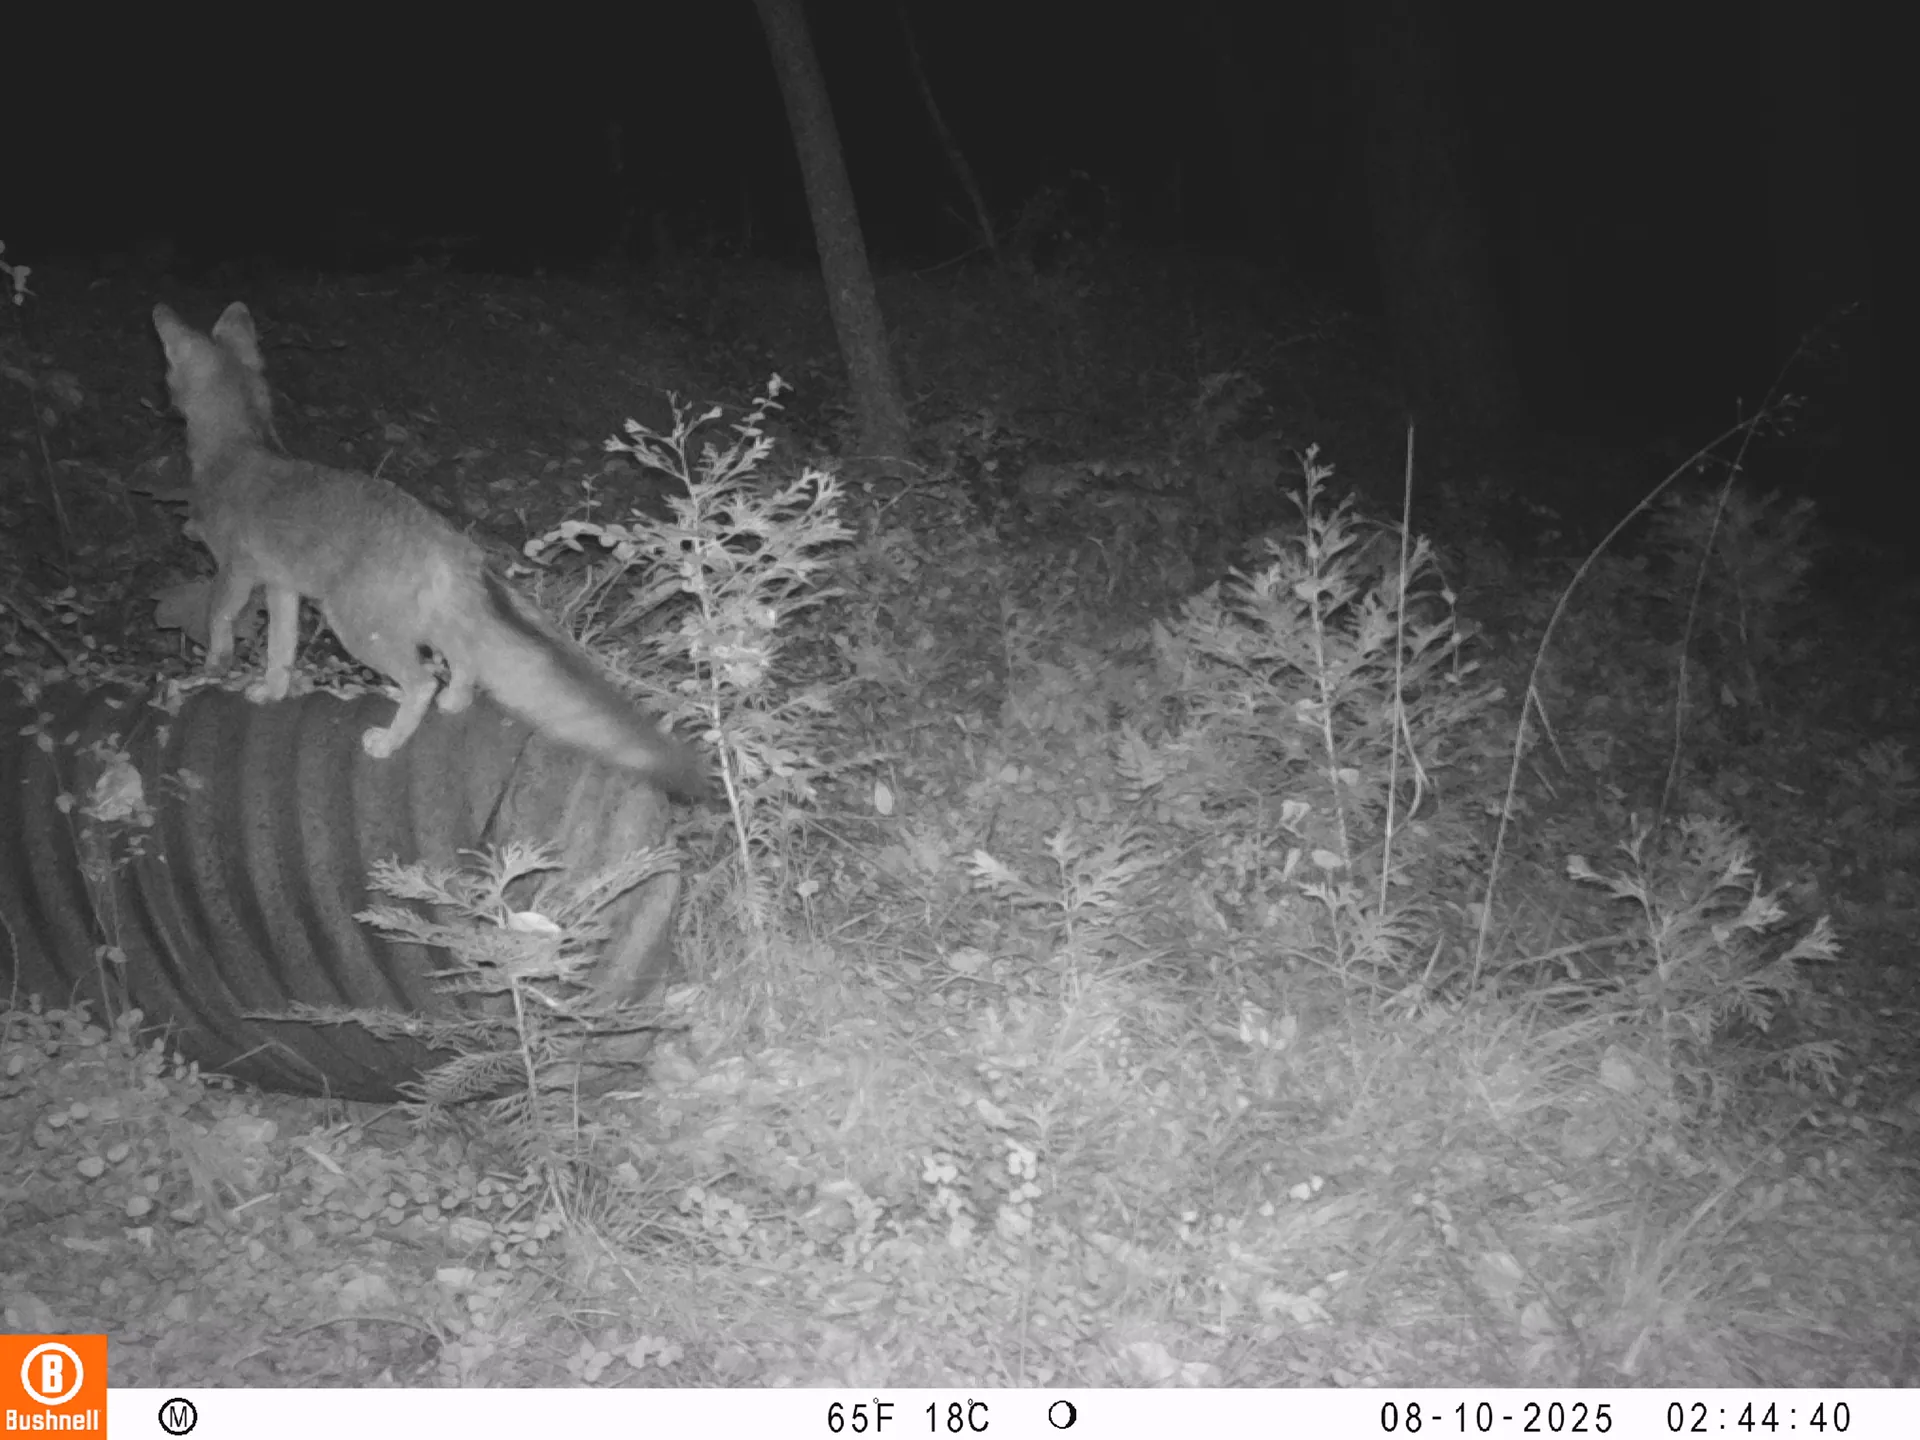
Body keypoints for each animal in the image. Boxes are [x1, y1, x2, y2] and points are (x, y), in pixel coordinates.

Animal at [153, 300, 707, 800]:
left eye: (167, 376)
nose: (162, 406)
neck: (241, 451)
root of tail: (444, 537)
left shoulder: (236, 570)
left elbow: (220, 620)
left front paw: (213, 668)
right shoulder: (282, 585)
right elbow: (281, 652)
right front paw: (270, 693)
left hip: (355, 626)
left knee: (423, 681)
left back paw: (391, 741)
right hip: (421, 622)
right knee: (463, 660)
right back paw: (457, 704)